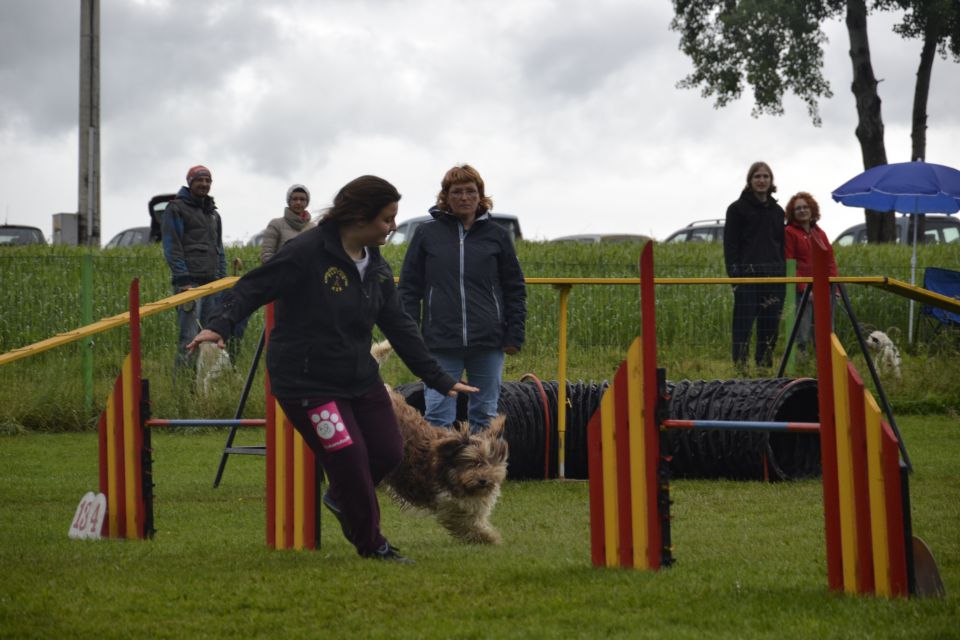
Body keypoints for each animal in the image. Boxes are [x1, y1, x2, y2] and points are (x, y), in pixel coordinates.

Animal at [386, 390, 510, 544]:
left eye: (489, 462)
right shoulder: (451, 507)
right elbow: (470, 525)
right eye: (472, 463)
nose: (483, 480)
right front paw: (492, 539)